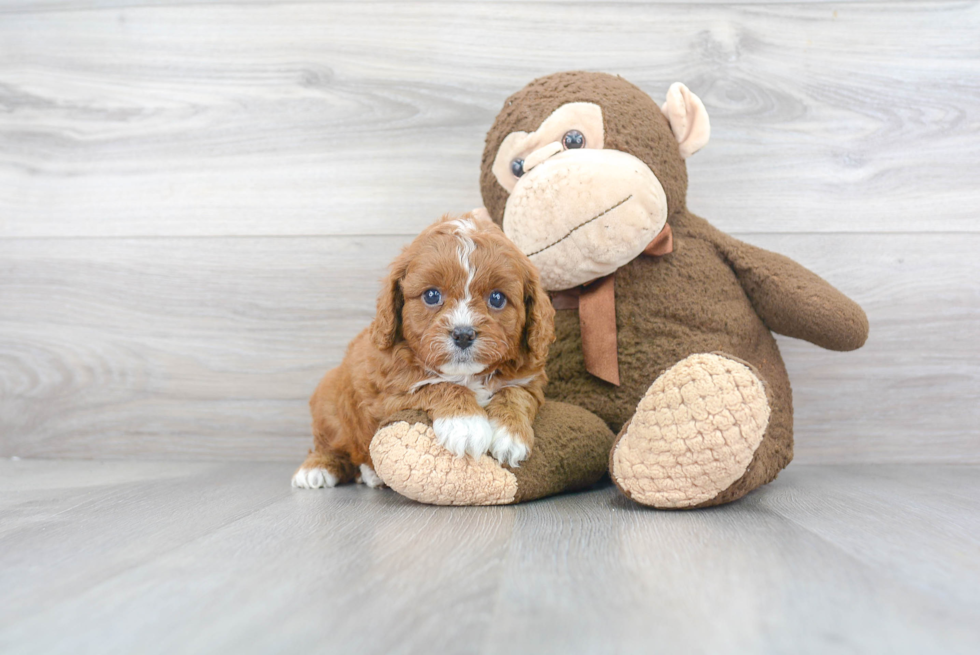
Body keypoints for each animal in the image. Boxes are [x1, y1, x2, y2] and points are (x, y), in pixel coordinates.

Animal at [290, 213, 556, 490]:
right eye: (431, 295)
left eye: (497, 298)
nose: (463, 334)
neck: (467, 375)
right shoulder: (388, 396)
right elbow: (437, 385)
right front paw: (465, 424)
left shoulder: (531, 381)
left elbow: (515, 392)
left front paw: (510, 434)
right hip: (328, 403)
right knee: (332, 444)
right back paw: (317, 468)